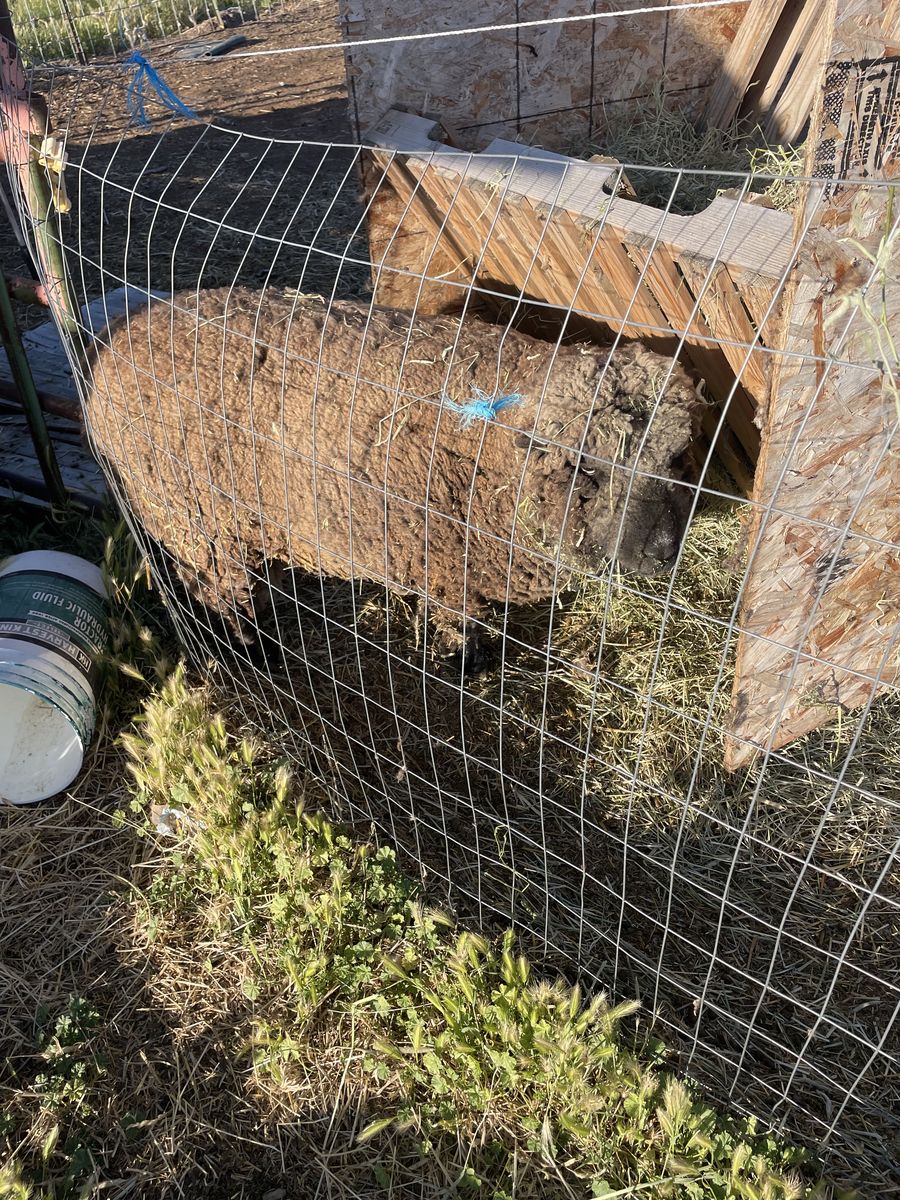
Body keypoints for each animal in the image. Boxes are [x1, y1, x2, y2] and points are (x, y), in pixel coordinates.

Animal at [83, 287, 703, 659]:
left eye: (679, 458)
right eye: (586, 468)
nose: (660, 553)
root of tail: (115, 343)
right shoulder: (445, 563)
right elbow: (458, 624)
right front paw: (464, 664)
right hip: (192, 518)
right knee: (214, 589)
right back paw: (251, 648)